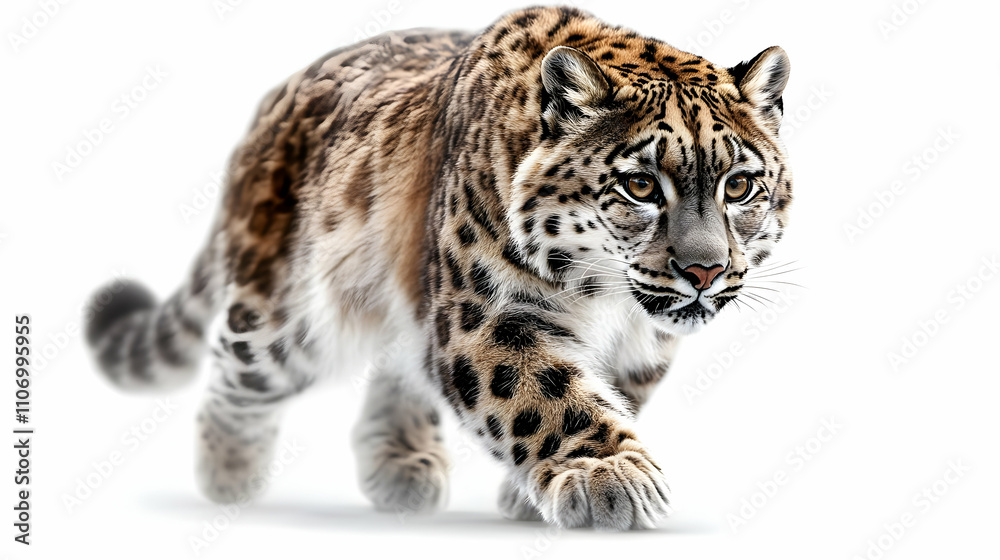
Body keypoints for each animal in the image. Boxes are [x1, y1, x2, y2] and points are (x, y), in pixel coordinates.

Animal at [84, 6, 792, 530]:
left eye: (739, 186)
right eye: (641, 185)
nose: (704, 271)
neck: (608, 306)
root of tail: (270, 109)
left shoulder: (645, 347)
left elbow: (607, 394)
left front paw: (536, 495)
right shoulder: (488, 315)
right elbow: (546, 396)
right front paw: (611, 477)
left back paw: (400, 466)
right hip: (287, 317)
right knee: (238, 371)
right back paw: (230, 474)